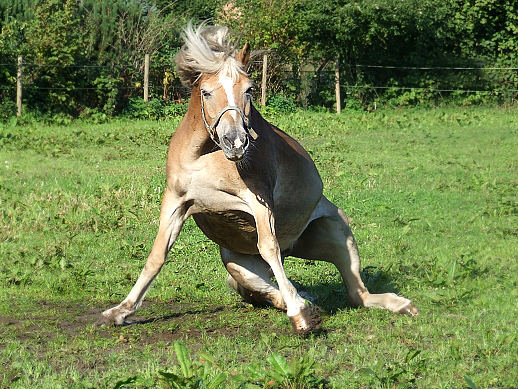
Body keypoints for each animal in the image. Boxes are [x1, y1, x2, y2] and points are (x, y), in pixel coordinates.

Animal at [100, 23, 418, 334]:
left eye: (249, 90)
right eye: (206, 92)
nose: (236, 142)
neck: (206, 156)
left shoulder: (258, 200)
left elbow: (269, 246)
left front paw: (299, 315)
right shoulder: (176, 202)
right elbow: (156, 256)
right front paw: (120, 311)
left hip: (337, 233)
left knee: (355, 293)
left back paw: (396, 305)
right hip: (236, 263)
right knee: (263, 288)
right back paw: (305, 300)